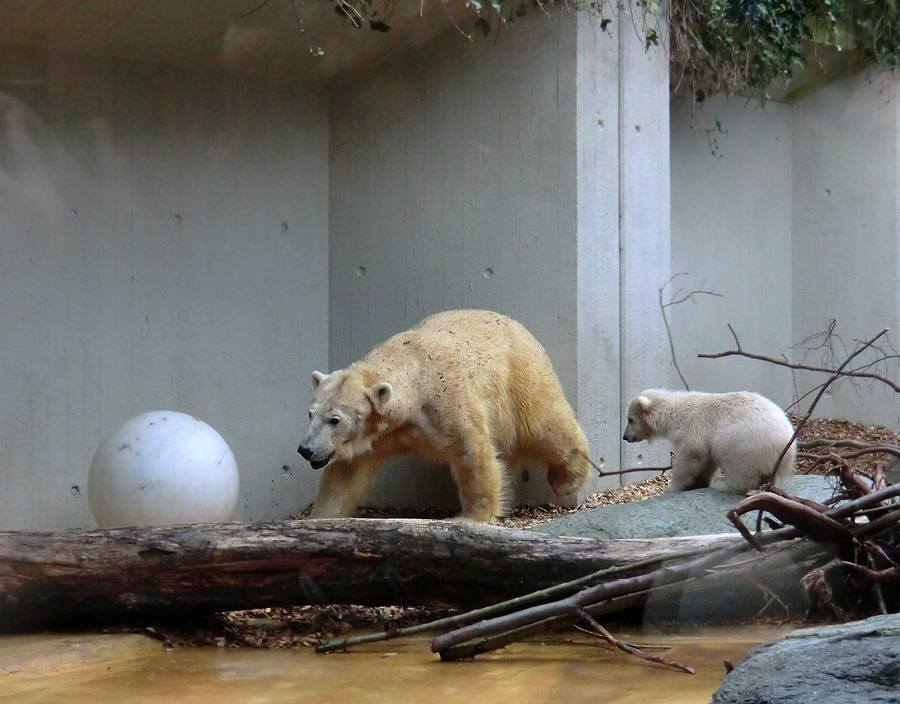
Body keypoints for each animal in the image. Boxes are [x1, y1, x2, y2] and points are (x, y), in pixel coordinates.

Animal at [296, 310, 592, 524]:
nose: (305, 450)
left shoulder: (445, 401)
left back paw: (568, 479)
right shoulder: (378, 434)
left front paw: (469, 518)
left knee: (544, 424)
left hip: (520, 377)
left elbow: (471, 452)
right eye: (310, 413)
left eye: (335, 419)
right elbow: (347, 472)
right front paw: (317, 518)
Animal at [624, 390, 796, 496]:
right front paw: (700, 483)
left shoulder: (691, 428)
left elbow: (690, 455)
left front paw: (673, 487)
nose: (625, 437)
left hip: (744, 441)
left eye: (630, 420)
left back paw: (722, 484)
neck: (674, 412)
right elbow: (706, 461)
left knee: (740, 467)